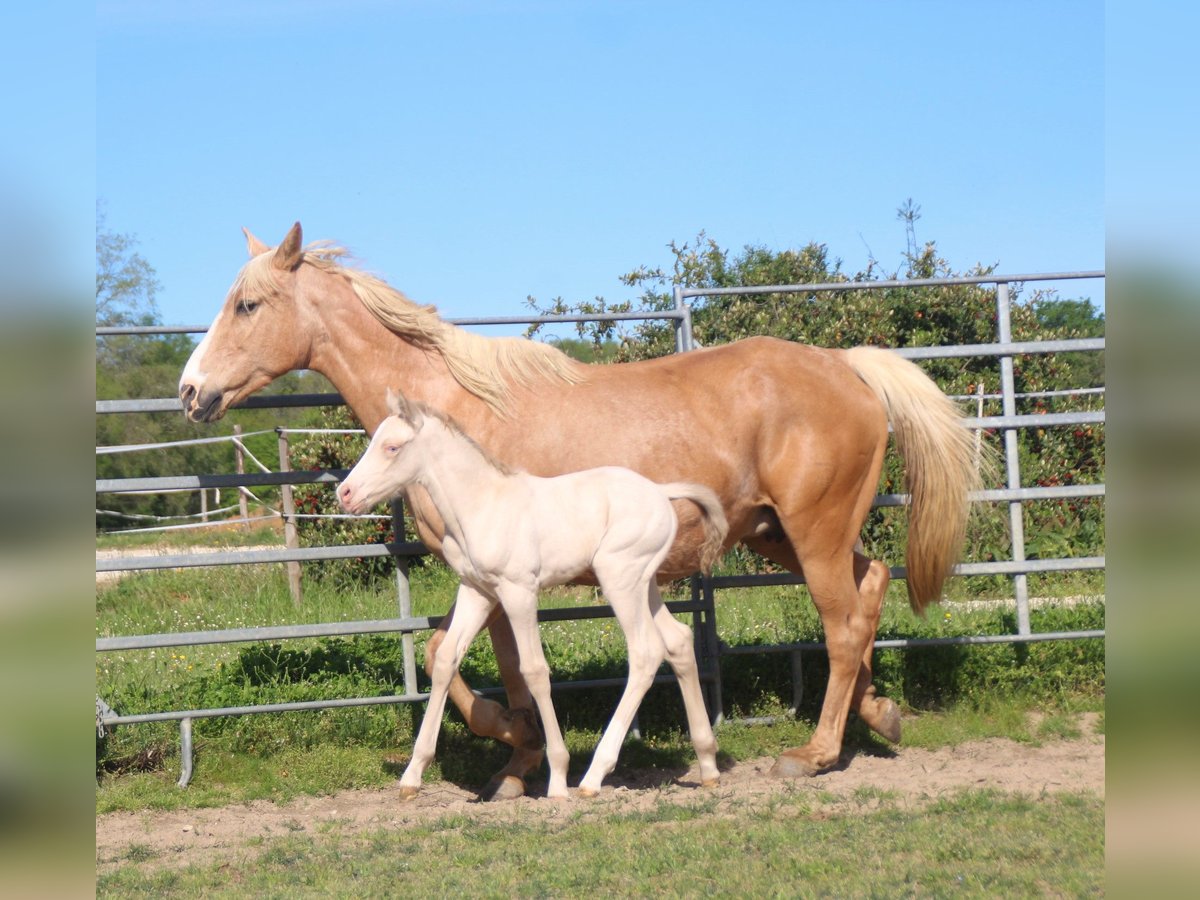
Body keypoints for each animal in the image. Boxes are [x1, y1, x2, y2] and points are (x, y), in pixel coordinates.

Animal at [340, 398, 729, 801]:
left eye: (392, 447)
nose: (345, 493)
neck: (483, 505)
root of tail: (661, 493)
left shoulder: (519, 591)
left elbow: (534, 671)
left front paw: (557, 777)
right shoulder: (477, 591)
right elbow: (447, 659)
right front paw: (412, 776)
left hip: (619, 578)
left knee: (645, 653)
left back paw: (592, 777)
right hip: (643, 583)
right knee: (678, 640)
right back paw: (708, 765)